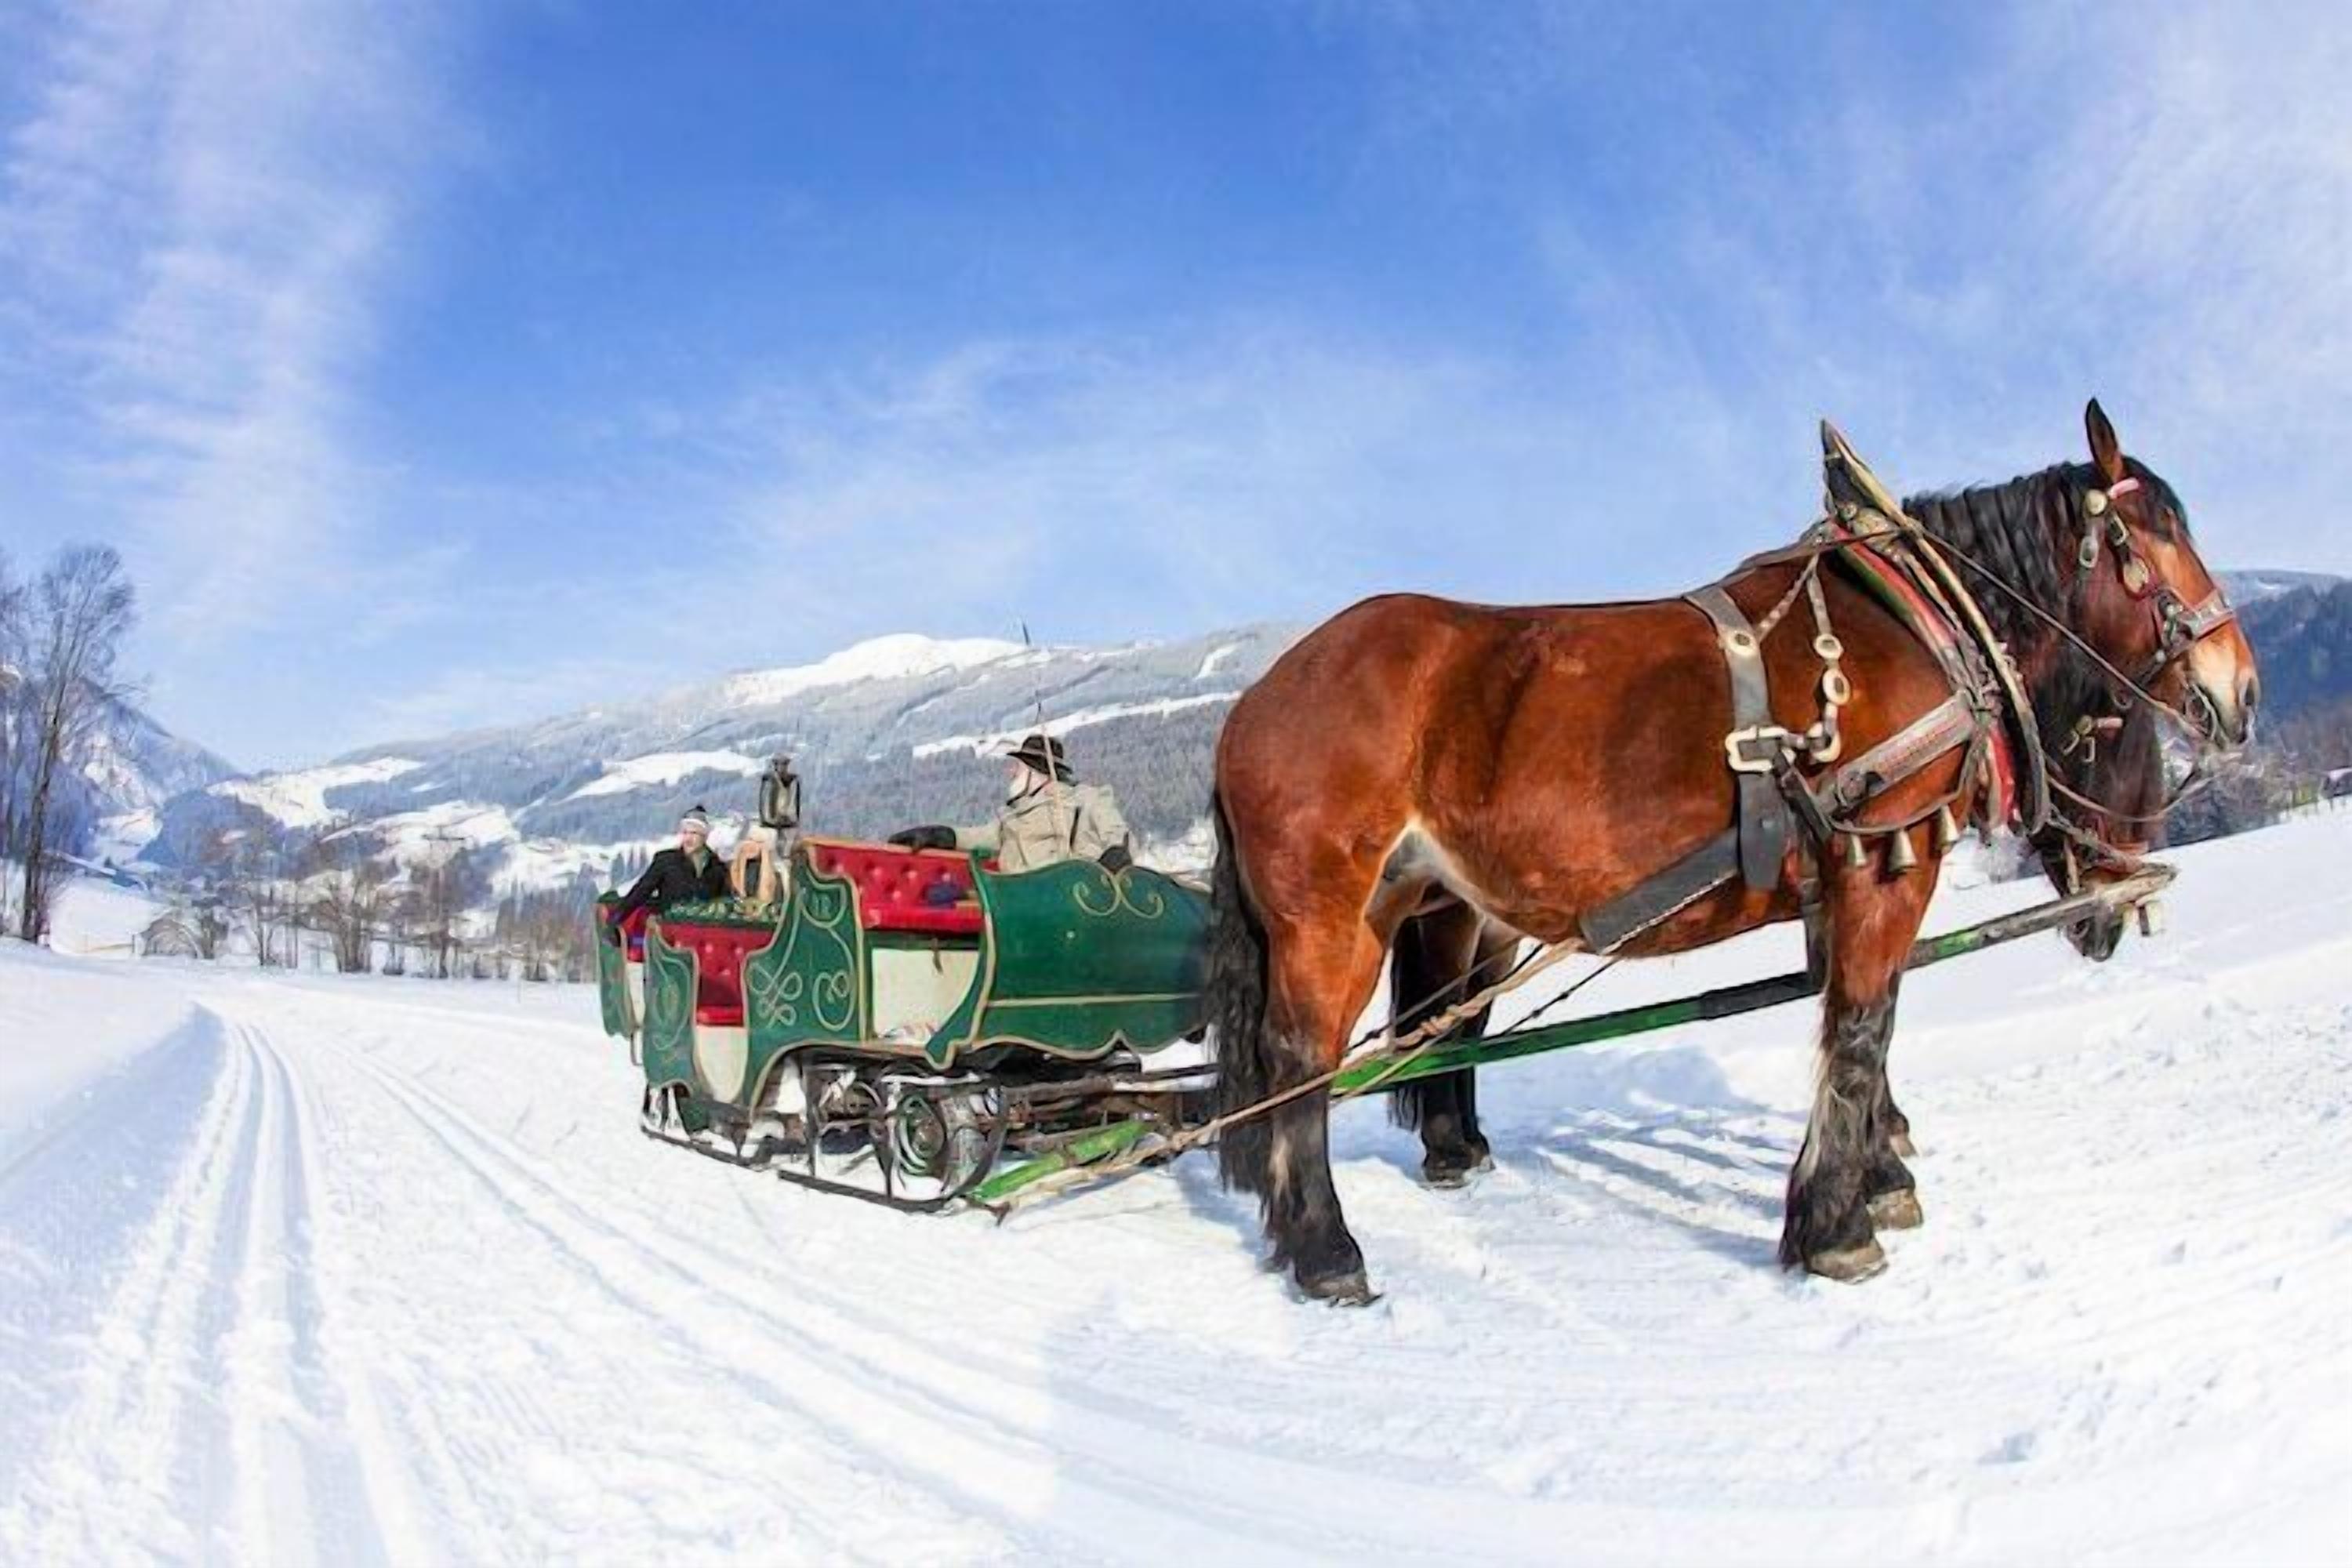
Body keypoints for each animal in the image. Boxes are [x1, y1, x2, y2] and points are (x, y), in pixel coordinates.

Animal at [1205, 401, 2257, 1303]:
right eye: (2158, 537)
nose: (2240, 690)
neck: (1917, 620)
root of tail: (1256, 700)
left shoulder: (1850, 870)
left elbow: (1853, 1024)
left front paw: (1877, 1173)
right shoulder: (1884, 859)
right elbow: (1863, 1027)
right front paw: (1838, 1226)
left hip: (1414, 903)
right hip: (1328, 914)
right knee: (1300, 1059)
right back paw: (1325, 1248)